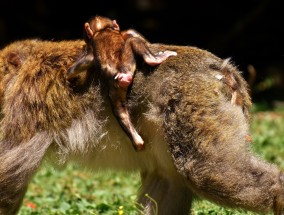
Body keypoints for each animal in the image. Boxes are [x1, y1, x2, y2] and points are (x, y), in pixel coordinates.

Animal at [0, 39, 284, 215]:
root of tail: (224, 71)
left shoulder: (22, 108)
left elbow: (8, 171)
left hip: (191, 101)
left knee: (206, 170)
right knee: (169, 180)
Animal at [67, 15, 176, 151]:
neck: (102, 30)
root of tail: (121, 75)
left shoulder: (91, 52)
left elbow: (74, 68)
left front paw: (70, 78)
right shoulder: (126, 33)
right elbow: (134, 35)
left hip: (115, 87)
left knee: (119, 109)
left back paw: (137, 141)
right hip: (127, 62)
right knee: (133, 41)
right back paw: (154, 59)